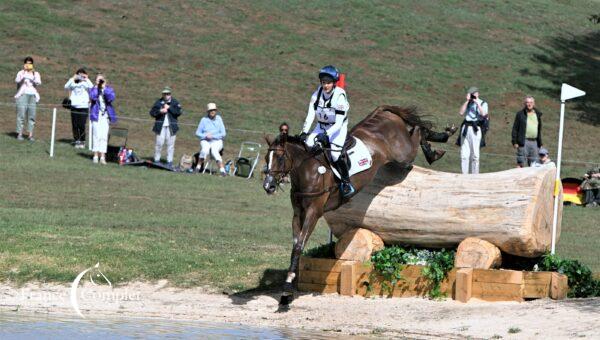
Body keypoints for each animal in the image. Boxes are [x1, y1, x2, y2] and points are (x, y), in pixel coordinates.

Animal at [262, 105, 450, 304]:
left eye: (280, 158)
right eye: (266, 157)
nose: (268, 186)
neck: (308, 171)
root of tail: (382, 112)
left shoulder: (314, 212)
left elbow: (299, 246)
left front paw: (286, 291)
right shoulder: (298, 213)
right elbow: (295, 246)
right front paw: (288, 289)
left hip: (403, 153)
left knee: (418, 131)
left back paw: (437, 146)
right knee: (416, 129)